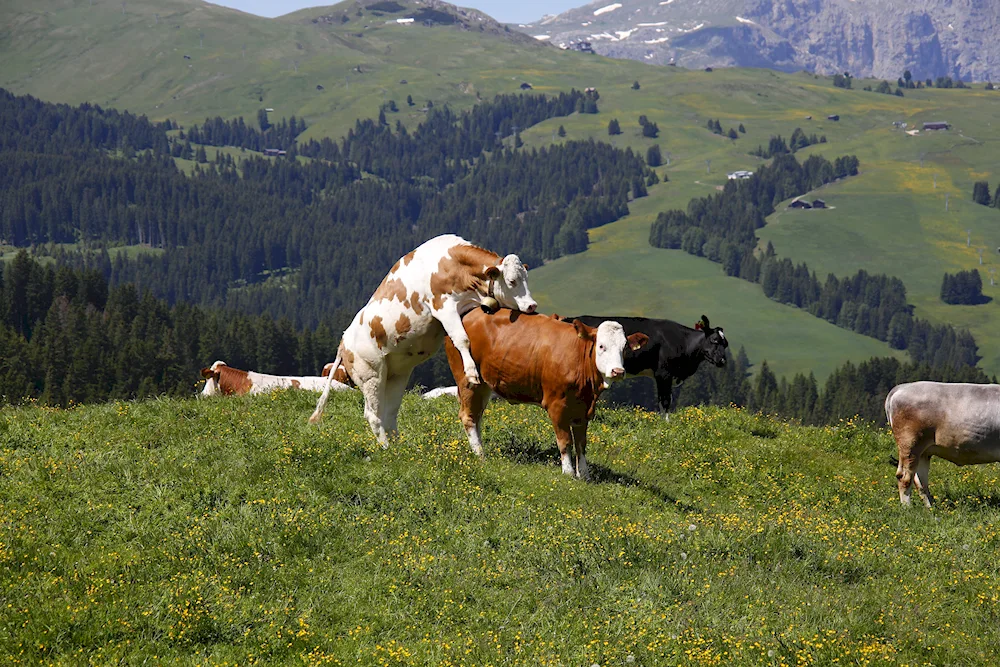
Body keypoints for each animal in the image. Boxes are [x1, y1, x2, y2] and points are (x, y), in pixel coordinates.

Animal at [308, 235, 536, 444]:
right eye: (512, 281)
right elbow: (461, 339)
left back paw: (398, 449)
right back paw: (386, 449)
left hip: (395, 375)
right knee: (373, 415)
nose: (532, 305)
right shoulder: (442, 306)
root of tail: (343, 342)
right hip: (370, 375)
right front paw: (471, 373)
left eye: (526, 278)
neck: (451, 263)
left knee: (389, 413)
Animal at [446, 308, 648, 480]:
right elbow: (565, 441)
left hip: (484, 385)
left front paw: (584, 475)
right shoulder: (557, 406)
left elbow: (581, 444)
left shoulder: (583, 410)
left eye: (624, 348)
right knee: (469, 417)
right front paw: (568, 473)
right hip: (468, 380)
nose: (618, 371)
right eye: (601, 346)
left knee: (477, 416)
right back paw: (480, 455)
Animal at [556, 314, 728, 418]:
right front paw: (666, 424)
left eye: (725, 344)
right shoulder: (663, 374)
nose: (722, 361)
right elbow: (665, 401)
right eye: (714, 340)